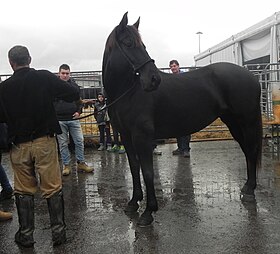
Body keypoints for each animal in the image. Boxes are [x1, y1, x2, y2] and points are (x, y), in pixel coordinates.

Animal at [102, 12, 262, 226]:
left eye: (142, 45)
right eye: (128, 43)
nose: (154, 79)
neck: (128, 92)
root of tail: (252, 76)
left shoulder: (142, 138)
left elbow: (148, 172)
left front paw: (148, 212)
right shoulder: (127, 137)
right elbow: (135, 168)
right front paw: (133, 203)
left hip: (247, 122)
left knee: (251, 150)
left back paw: (251, 190)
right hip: (234, 123)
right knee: (246, 150)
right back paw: (246, 187)